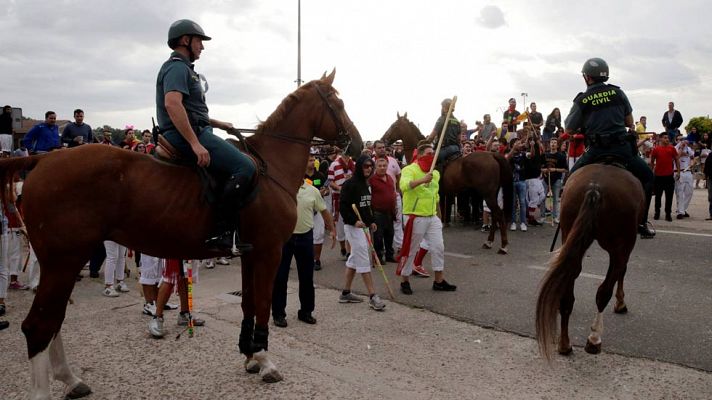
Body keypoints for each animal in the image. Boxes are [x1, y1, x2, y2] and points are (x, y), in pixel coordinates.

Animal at [1, 70, 362, 398]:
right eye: (338, 103)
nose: (357, 145)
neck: (269, 168)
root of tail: (42, 161)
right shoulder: (269, 251)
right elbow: (261, 302)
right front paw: (264, 359)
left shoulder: (249, 253)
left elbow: (247, 302)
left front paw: (249, 355)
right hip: (63, 261)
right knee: (39, 325)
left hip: (62, 263)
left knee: (53, 320)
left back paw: (70, 379)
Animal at [384, 113, 512, 253]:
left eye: (394, 126)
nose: (383, 140)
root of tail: (492, 155)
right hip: (492, 194)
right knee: (495, 215)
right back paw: (489, 242)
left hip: (488, 195)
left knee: (498, 214)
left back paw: (503, 246)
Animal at [536, 164, 644, 358]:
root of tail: (595, 188)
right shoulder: (623, 249)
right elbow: (622, 272)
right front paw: (620, 303)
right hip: (621, 245)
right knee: (603, 292)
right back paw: (594, 339)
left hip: (572, 237)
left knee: (568, 295)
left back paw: (565, 344)